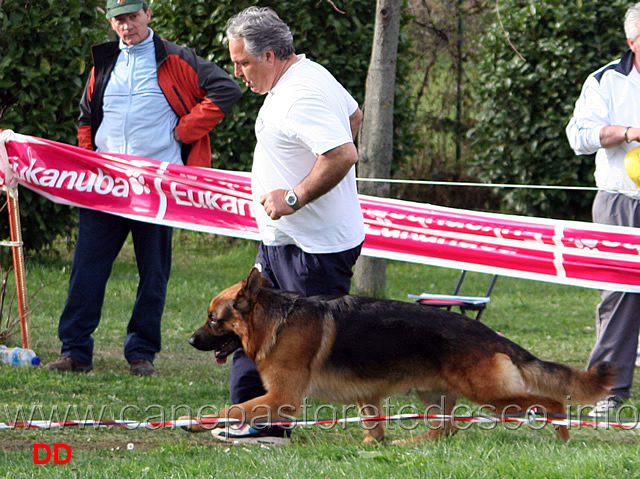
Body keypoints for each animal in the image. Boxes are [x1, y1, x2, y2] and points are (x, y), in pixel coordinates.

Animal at [189, 270, 616, 442]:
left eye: (213, 319)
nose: (192, 340)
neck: (276, 320)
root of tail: (487, 333)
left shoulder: (282, 398)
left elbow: (234, 408)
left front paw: (195, 422)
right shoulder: (366, 394)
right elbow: (372, 425)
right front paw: (372, 445)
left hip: (490, 395)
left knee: (550, 401)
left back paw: (562, 435)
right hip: (434, 395)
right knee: (446, 429)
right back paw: (409, 443)